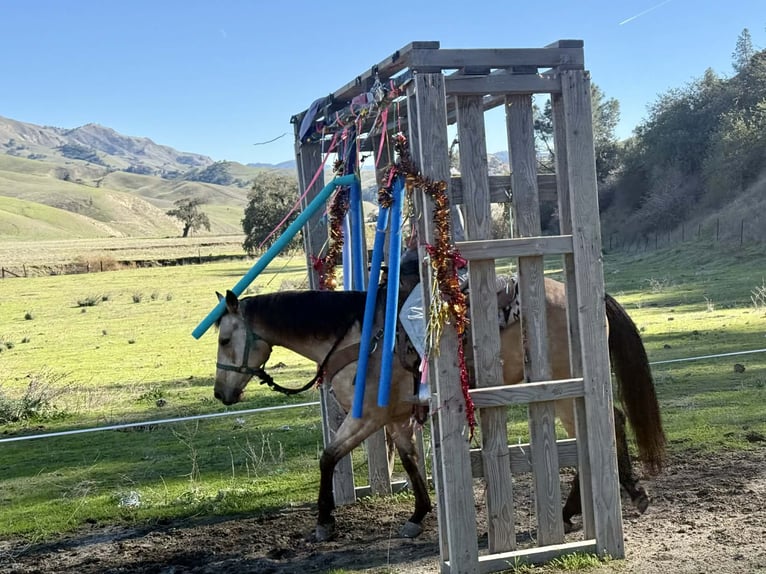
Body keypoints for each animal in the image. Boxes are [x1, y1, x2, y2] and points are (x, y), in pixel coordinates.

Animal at [212, 274, 665, 541]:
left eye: (223, 339)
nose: (220, 394)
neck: (355, 337)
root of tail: (590, 296)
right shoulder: (396, 418)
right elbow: (411, 462)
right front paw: (418, 515)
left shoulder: (366, 417)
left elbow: (328, 457)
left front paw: (325, 522)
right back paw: (578, 510)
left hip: (565, 390)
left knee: (608, 423)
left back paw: (628, 493)